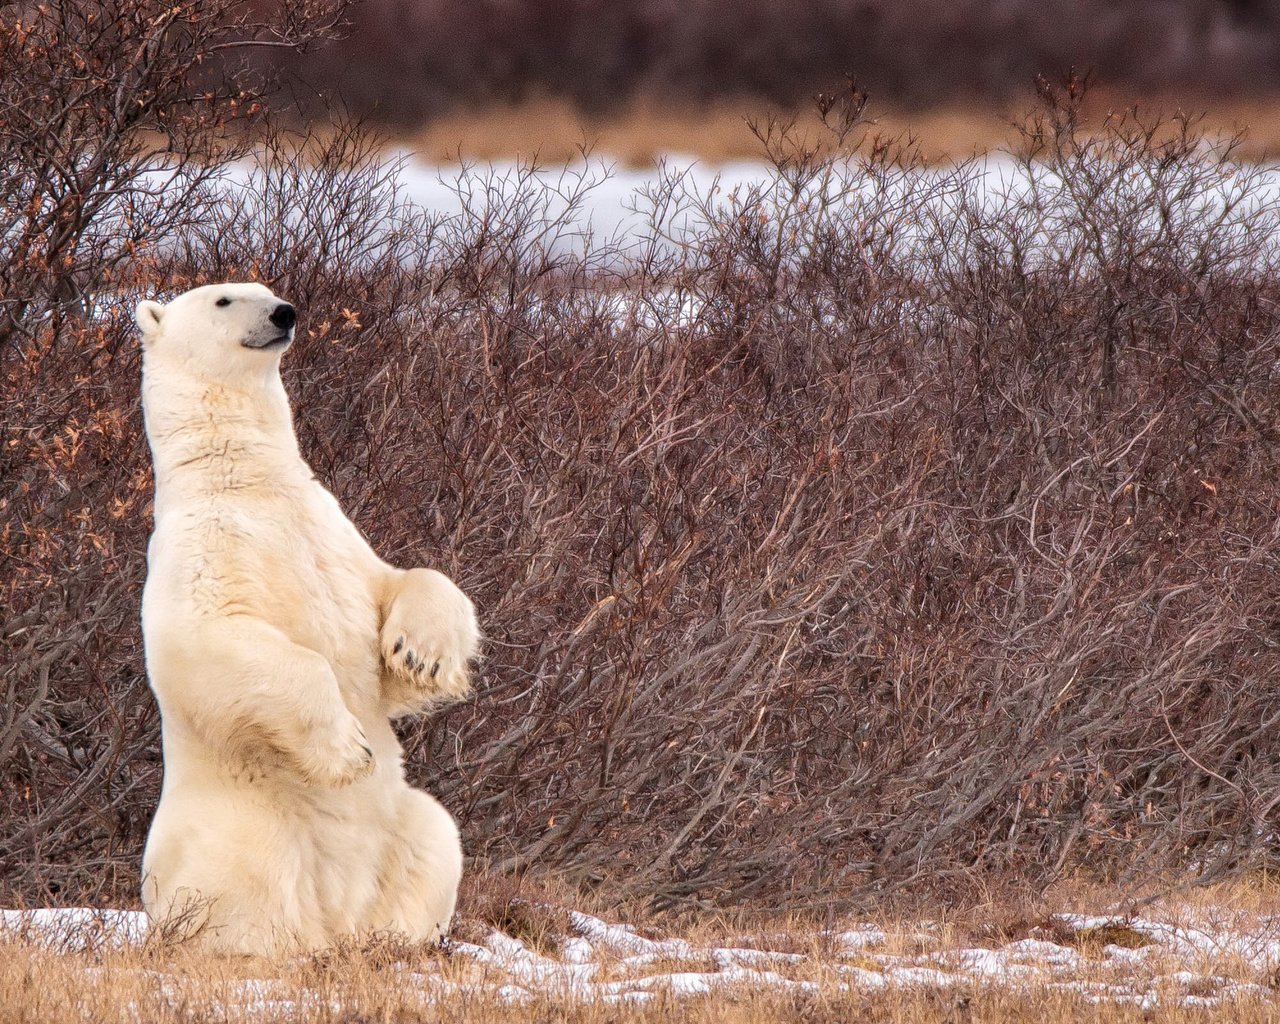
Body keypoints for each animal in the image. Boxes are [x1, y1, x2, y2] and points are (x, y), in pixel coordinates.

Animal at [136, 277, 481, 952]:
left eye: (266, 289)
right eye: (223, 299)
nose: (283, 313)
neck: (245, 482)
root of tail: (338, 913)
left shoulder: (334, 536)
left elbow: (396, 590)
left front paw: (422, 654)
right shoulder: (199, 555)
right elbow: (210, 638)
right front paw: (349, 750)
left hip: (400, 824)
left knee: (436, 837)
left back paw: (393, 942)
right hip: (241, 823)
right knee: (245, 879)